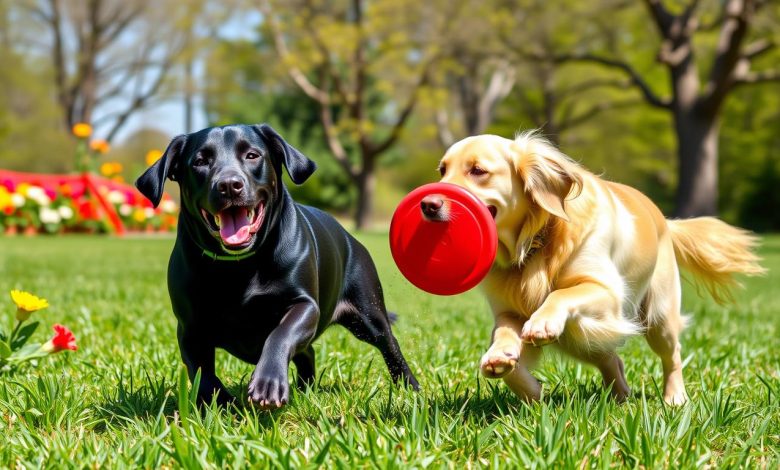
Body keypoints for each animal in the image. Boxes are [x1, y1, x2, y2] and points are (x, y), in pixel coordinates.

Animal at [139, 125, 420, 408]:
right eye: (199, 161)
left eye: (252, 155)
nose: (229, 185)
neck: (239, 266)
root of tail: (350, 237)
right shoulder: (190, 328)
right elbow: (202, 374)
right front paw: (223, 404)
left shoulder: (305, 306)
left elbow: (281, 334)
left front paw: (268, 382)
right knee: (308, 352)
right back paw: (305, 387)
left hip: (369, 314)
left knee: (390, 346)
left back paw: (410, 388)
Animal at [424, 131, 764, 404]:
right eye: (442, 169)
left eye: (478, 170)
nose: (428, 204)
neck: (536, 243)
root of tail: (666, 221)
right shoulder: (508, 311)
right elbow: (505, 342)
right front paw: (510, 369)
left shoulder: (607, 293)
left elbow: (559, 295)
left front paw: (542, 322)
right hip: (584, 339)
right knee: (612, 360)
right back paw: (619, 395)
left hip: (658, 318)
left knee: (672, 355)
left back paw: (674, 397)